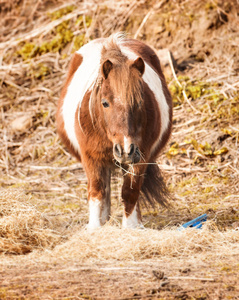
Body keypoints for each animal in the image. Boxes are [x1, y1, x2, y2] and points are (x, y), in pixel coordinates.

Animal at [56, 33, 172, 230]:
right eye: (105, 103)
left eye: (139, 102)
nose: (125, 149)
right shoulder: (91, 158)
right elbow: (97, 192)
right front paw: (95, 228)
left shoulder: (140, 157)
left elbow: (130, 193)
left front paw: (130, 228)